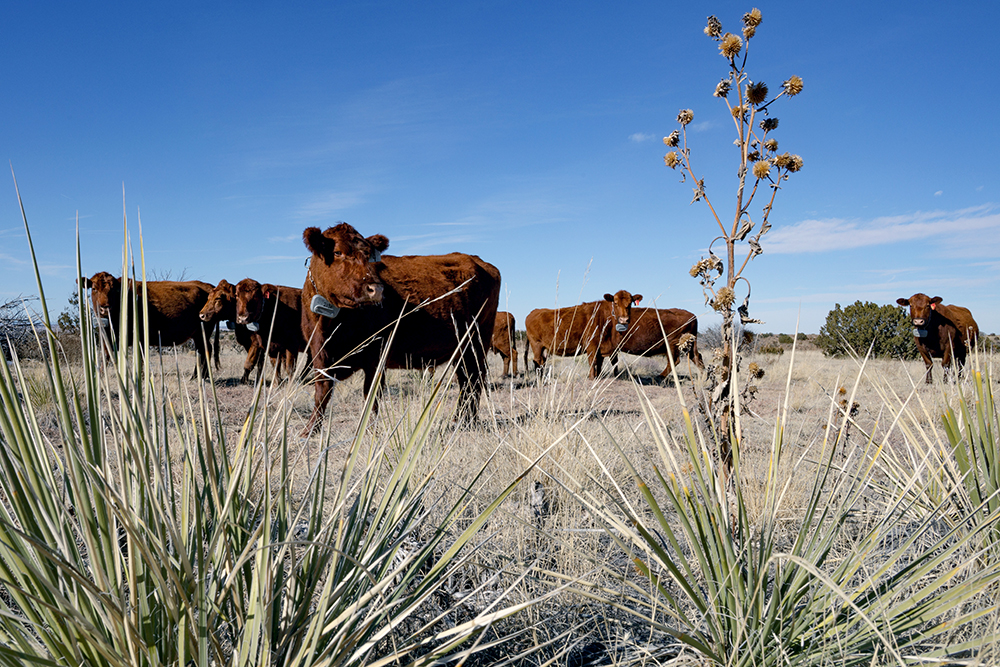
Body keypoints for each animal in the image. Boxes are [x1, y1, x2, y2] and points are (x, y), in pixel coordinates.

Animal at [82, 271, 217, 378]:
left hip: (204, 331)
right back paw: (197, 376)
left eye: (113, 290)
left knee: (206, 349)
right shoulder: (108, 337)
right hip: (198, 334)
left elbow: (140, 359)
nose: (105, 308)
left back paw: (202, 376)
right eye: (94, 289)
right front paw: (100, 377)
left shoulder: (140, 337)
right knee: (201, 351)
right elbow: (106, 356)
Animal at [301, 222, 501, 434]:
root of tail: (478, 261)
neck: (330, 324)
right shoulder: (318, 352)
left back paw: (467, 421)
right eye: (337, 252)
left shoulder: (377, 355)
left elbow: (371, 394)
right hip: (461, 349)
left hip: (477, 342)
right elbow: (322, 391)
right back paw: (462, 420)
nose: (376, 289)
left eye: (369, 256)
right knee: (466, 380)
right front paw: (311, 429)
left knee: (474, 379)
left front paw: (369, 429)